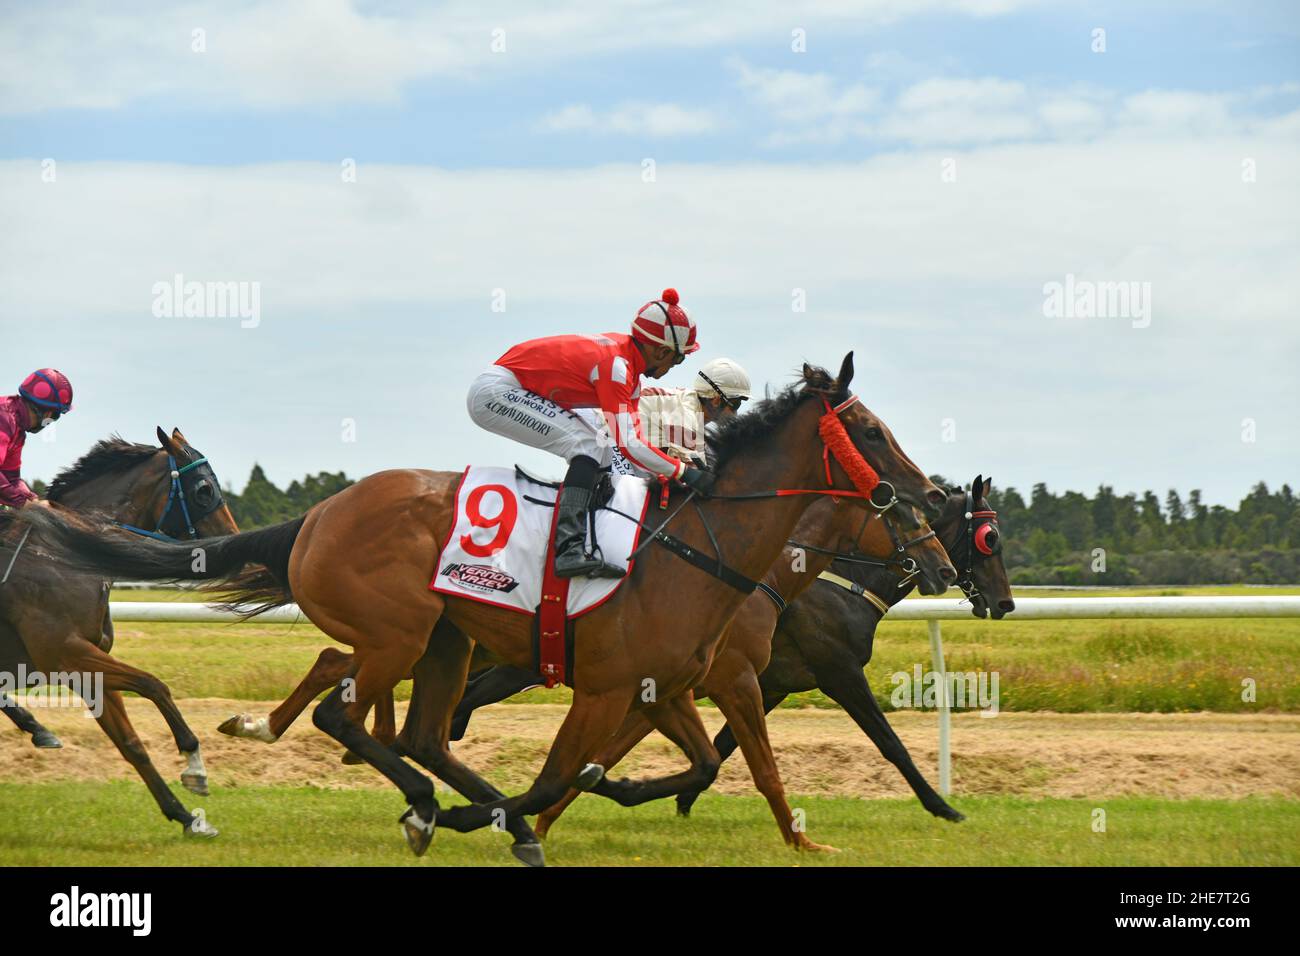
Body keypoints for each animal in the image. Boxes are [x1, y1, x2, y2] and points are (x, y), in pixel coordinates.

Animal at [0, 429, 236, 837]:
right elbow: (155, 685)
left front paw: (187, 817)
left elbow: (131, 743)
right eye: (204, 490)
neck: (64, 554)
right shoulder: (67, 655)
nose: (232, 541)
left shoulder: (88, 667)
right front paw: (194, 764)